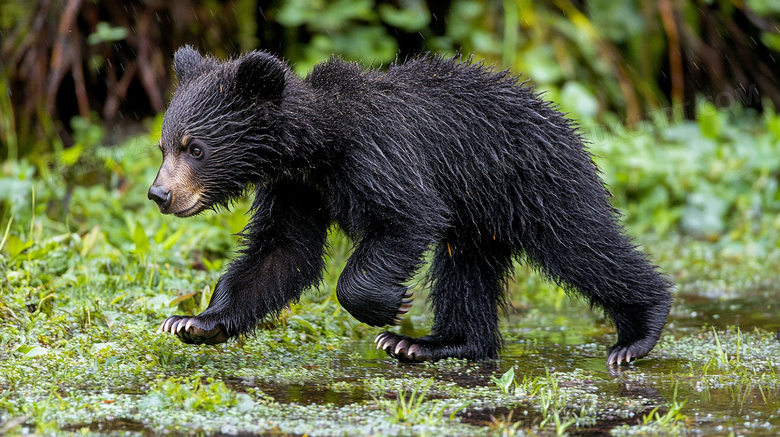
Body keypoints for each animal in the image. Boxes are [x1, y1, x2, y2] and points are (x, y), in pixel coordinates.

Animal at [149, 46, 672, 364]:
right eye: (163, 146)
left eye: (195, 148)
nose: (160, 194)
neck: (317, 147)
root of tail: (560, 115)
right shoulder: (296, 189)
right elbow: (280, 253)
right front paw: (192, 321)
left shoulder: (381, 156)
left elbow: (405, 217)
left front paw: (389, 306)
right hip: (479, 213)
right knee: (466, 270)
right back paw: (437, 343)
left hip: (534, 181)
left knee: (580, 244)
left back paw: (639, 331)